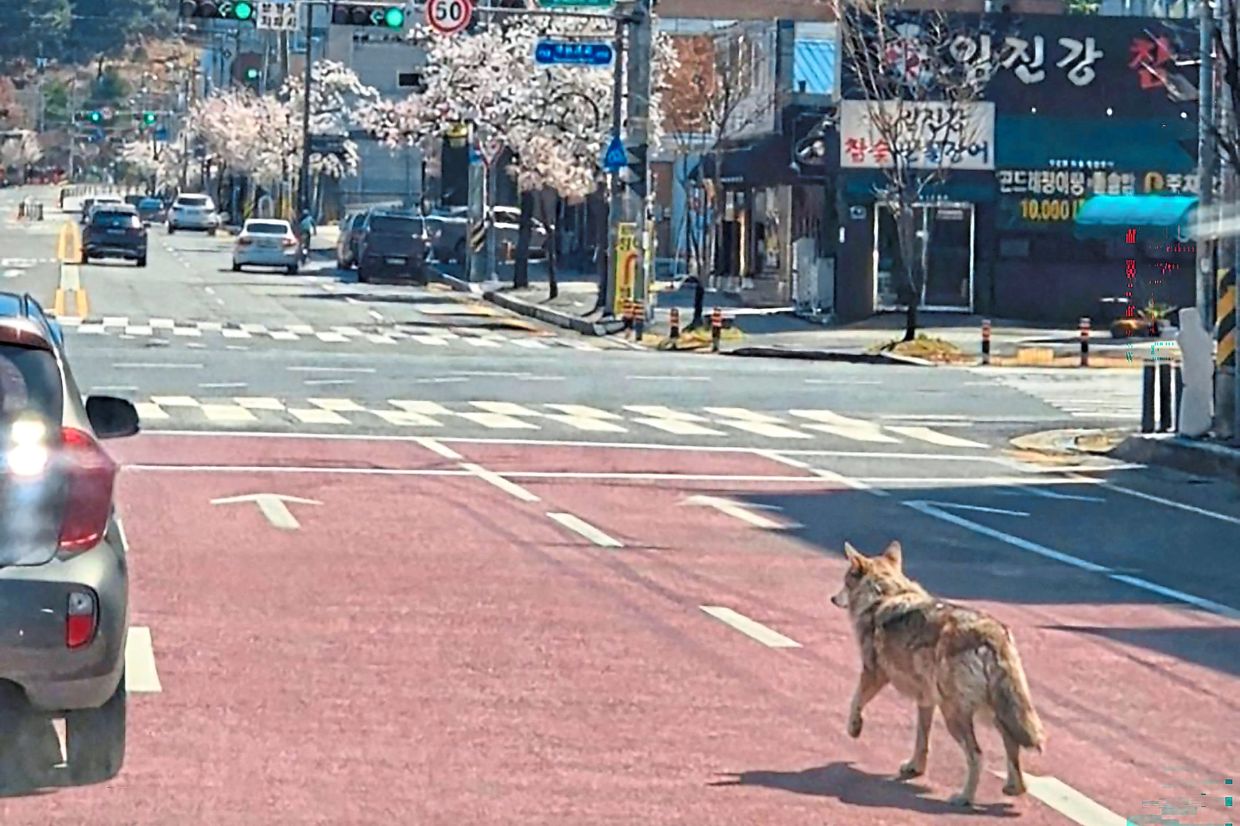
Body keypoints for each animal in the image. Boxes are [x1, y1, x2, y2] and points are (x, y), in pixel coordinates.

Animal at [830, 540, 1045, 807]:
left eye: (845, 581)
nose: (832, 598)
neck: (884, 595)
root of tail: (993, 634)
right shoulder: (925, 700)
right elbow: (922, 740)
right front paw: (915, 768)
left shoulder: (873, 673)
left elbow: (855, 701)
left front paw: (854, 729)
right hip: (994, 711)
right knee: (1012, 745)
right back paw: (1014, 788)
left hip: (955, 714)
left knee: (977, 755)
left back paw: (964, 798)